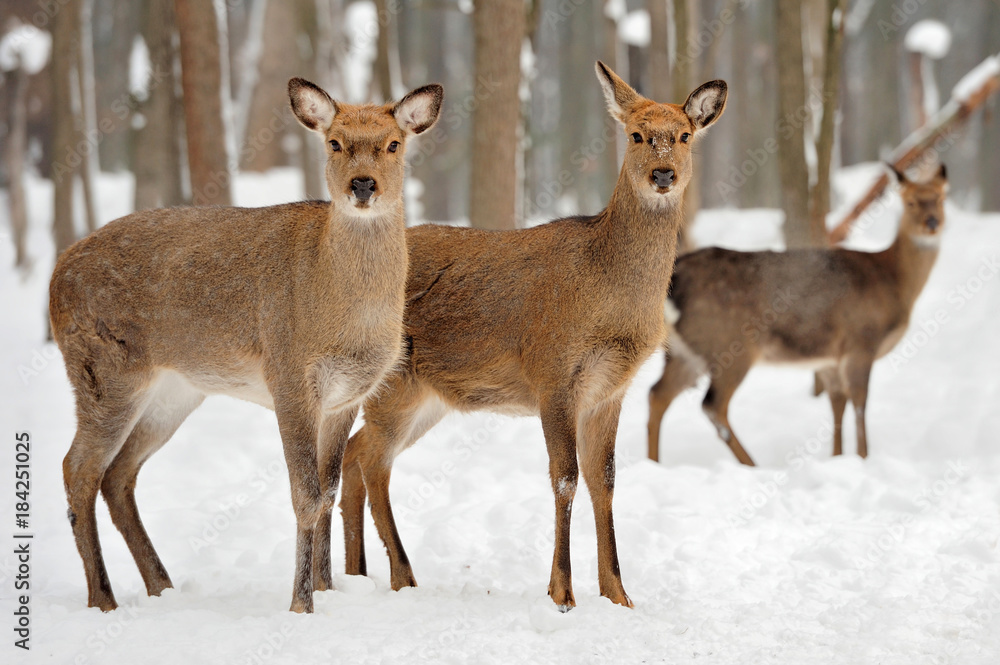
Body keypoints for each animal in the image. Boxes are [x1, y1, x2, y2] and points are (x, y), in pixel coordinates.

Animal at [47, 76, 442, 612]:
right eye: (334, 142)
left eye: (394, 144)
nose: (362, 184)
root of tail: (54, 277)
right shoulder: (289, 374)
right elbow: (305, 496)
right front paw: (301, 603)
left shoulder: (346, 397)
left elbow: (329, 491)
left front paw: (327, 588)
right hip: (102, 369)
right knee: (78, 468)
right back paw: (104, 600)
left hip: (173, 391)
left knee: (118, 475)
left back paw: (161, 586)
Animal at [332, 63, 732, 612]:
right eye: (635, 134)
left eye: (685, 135)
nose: (663, 174)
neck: (609, 293)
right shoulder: (553, 370)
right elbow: (565, 478)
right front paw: (562, 592)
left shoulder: (610, 389)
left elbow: (604, 481)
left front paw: (618, 594)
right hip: (397, 385)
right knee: (373, 462)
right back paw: (401, 575)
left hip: (428, 398)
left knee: (354, 454)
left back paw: (357, 575)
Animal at [644, 165, 948, 466]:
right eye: (910, 202)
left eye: (941, 199)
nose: (932, 223)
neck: (893, 281)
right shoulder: (861, 340)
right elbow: (860, 402)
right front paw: (863, 458)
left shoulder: (829, 358)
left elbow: (838, 404)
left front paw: (837, 458)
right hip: (728, 343)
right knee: (712, 405)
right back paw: (752, 465)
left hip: (686, 350)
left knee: (657, 394)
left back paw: (653, 463)